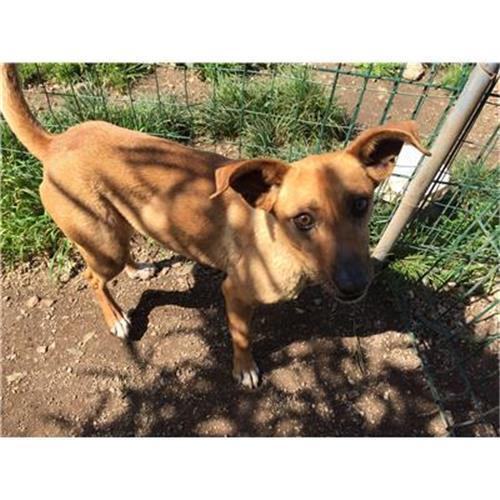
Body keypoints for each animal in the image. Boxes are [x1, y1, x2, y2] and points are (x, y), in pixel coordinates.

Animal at [0, 63, 430, 388]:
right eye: (303, 219)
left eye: (361, 204)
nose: (356, 286)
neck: (278, 241)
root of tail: (55, 143)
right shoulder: (234, 292)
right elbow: (242, 336)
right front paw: (245, 369)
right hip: (102, 243)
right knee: (93, 277)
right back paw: (117, 319)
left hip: (119, 226)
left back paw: (138, 269)